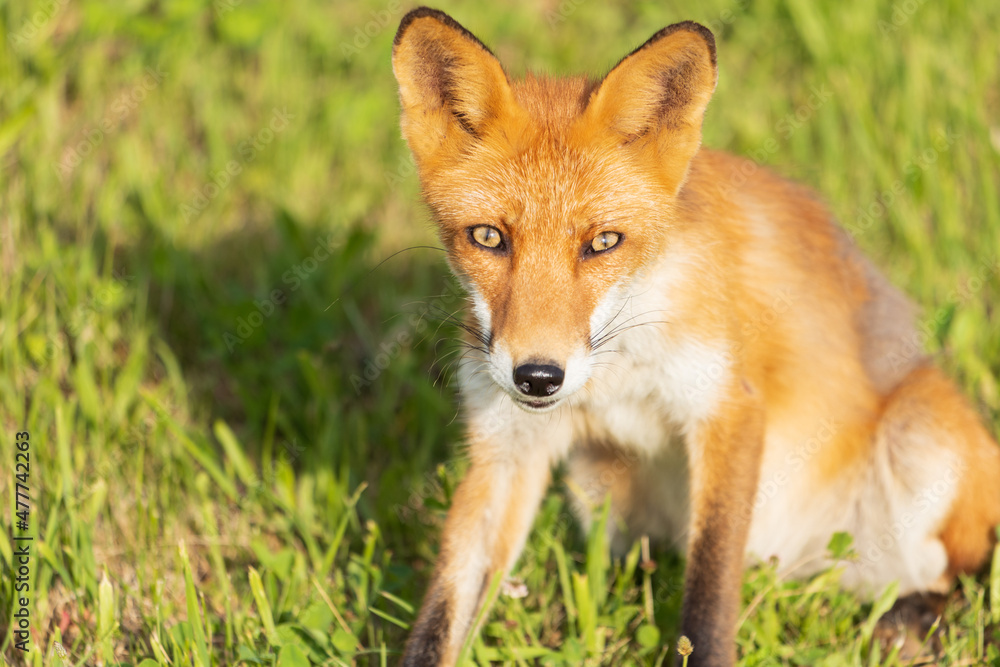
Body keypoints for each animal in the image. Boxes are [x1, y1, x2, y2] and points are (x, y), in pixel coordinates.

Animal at [390, 6, 1000, 667]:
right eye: (488, 237)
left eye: (603, 242)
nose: (538, 377)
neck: (616, 372)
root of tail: (796, 565)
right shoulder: (507, 449)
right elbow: (441, 614)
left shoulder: (727, 408)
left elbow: (708, 597)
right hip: (599, 487)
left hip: (922, 445)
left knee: (960, 577)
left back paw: (915, 620)